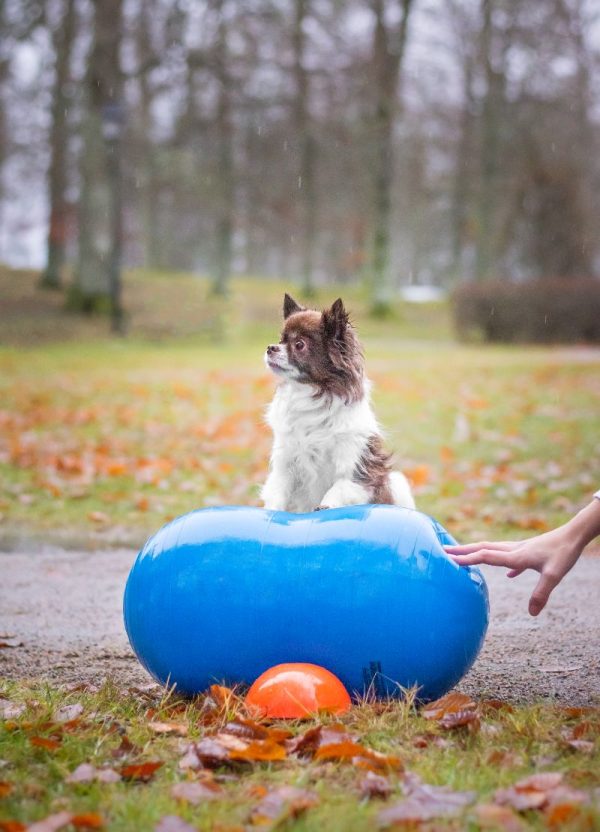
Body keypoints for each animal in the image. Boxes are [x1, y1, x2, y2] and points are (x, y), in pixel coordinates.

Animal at [260, 292, 414, 512]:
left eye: (299, 344)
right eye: (281, 340)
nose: (270, 348)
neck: (309, 394)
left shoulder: (357, 469)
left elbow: (339, 487)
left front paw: (326, 505)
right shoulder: (286, 465)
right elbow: (278, 492)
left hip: (398, 483)